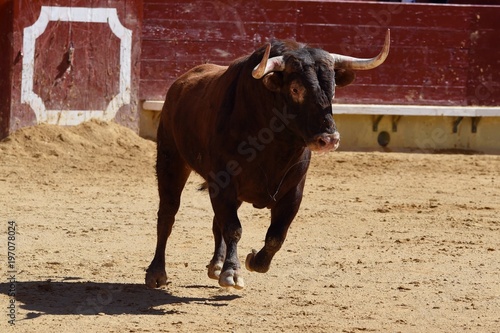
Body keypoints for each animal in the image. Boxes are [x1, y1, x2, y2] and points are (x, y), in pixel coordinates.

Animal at [145, 30, 390, 288]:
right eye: (295, 89)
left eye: (333, 89)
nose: (329, 139)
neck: (274, 144)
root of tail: (179, 84)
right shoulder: (223, 184)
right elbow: (233, 228)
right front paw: (232, 272)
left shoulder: (293, 191)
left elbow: (275, 235)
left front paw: (253, 260)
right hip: (171, 159)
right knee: (167, 214)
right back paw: (157, 273)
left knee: (214, 223)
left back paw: (216, 265)